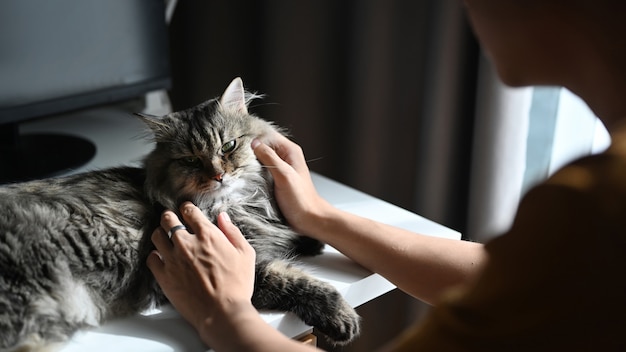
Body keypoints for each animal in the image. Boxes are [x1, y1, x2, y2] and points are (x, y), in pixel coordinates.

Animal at [0, 78, 358, 350]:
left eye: (228, 146)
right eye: (190, 160)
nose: (218, 175)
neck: (236, 204)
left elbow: (289, 236)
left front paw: (310, 242)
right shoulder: (244, 262)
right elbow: (292, 279)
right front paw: (340, 316)